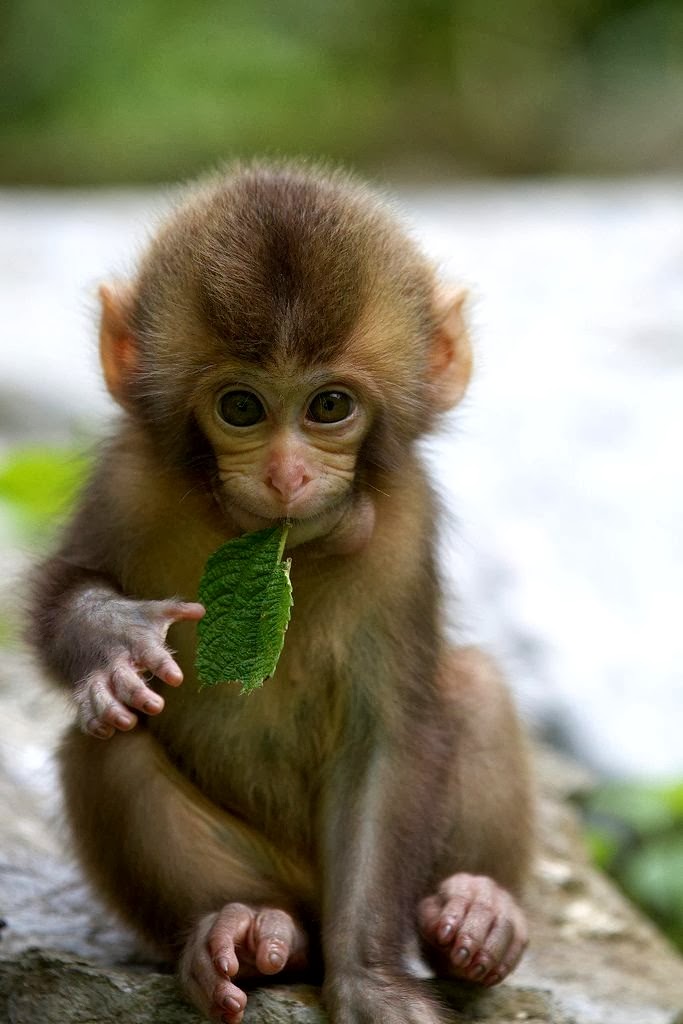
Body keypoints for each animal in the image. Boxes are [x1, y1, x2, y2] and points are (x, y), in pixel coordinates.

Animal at [28, 162, 533, 1024]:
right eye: (241, 407)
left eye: (329, 406)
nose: (287, 476)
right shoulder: (129, 477)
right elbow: (59, 591)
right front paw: (114, 641)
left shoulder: (403, 524)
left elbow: (386, 738)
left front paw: (372, 982)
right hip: (274, 877)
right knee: (105, 744)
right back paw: (252, 932)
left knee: (474, 683)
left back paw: (475, 913)